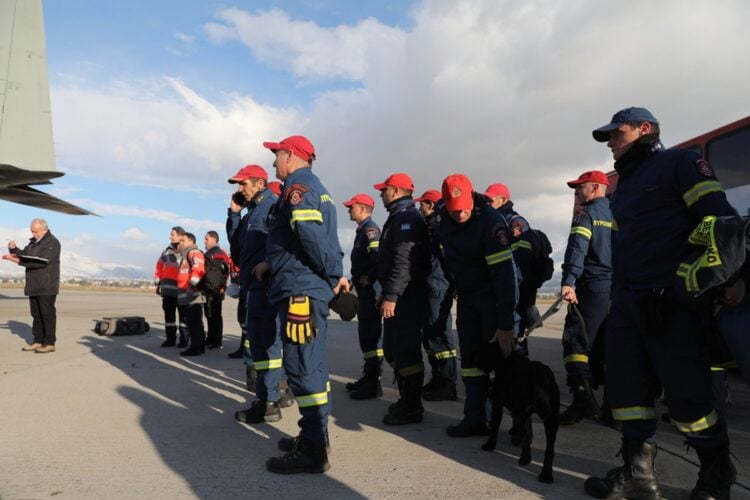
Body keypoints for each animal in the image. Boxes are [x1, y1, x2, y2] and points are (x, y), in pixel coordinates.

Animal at [484, 350, 560, 482]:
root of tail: (539, 373)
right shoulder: (526, 414)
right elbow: (528, 430)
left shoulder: (497, 405)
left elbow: (495, 428)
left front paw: (489, 445)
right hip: (552, 419)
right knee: (549, 448)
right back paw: (546, 475)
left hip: (519, 410)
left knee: (525, 435)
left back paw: (525, 459)